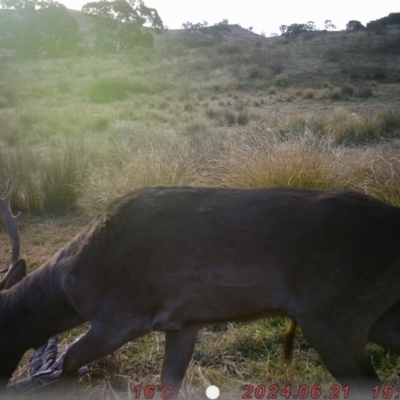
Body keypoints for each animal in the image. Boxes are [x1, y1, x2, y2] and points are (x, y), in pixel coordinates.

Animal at [0, 186, 400, 398]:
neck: (71, 286)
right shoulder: (184, 324)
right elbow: (168, 383)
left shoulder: (123, 316)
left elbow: (70, 360)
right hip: (376, 317)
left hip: (333, 318)